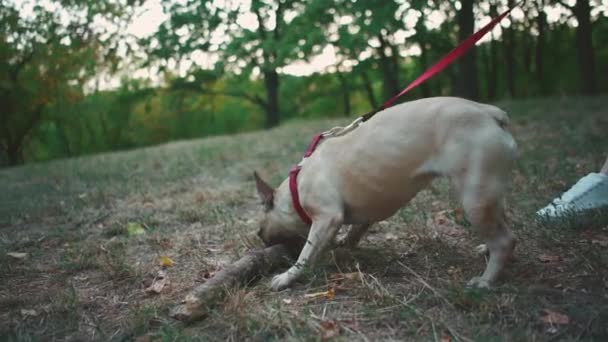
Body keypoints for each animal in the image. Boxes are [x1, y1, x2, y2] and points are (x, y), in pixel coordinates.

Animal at [254, 97, 516, 292]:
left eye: (260, 231)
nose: (262, 241)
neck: (295, 187)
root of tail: (489, 112)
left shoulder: (326, 218)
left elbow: (307, 253)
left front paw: (288, 276)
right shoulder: (359, 216)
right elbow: (354, 232)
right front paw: (343, 245)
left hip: (475, 199)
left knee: (504, 241)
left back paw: (486, 280)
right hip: (489, 193)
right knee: (502, 224)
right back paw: (486, 250)